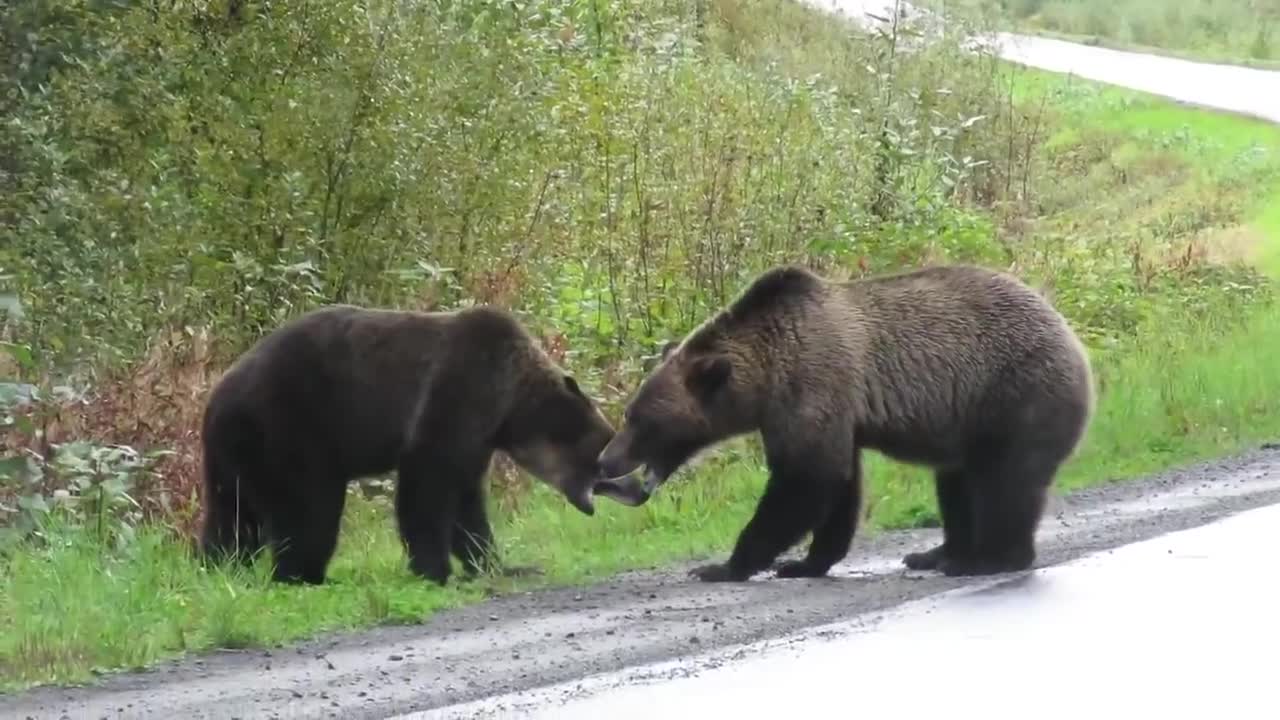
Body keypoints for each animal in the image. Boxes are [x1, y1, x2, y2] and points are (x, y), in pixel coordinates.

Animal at [198, 302, 645, 584]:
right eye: (607, 460)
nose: (640, 490)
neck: (509, 409)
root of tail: (216, 398)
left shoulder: (477, 438)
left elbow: (467, 503)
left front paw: (498, 564)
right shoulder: (456, 393)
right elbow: (428, 484)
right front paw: (435, 569)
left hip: (236, 454)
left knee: (232, 518)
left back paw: (218, 567)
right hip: (293, 429)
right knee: (310, 508)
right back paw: (304, 574)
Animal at [596, 263, 1090, 584]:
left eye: (640, 420)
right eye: (629, 414)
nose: (604, 459)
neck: (766, 378)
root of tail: (1073, 338)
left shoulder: (814, 386)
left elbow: (805, 481)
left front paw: (725, 565)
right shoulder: (822, 412)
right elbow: (839, 484)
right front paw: (805, 563)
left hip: (1013, 396)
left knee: (1004, 482)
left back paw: (990, 558)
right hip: (968, 421)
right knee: (956, 483)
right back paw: (935, 552)